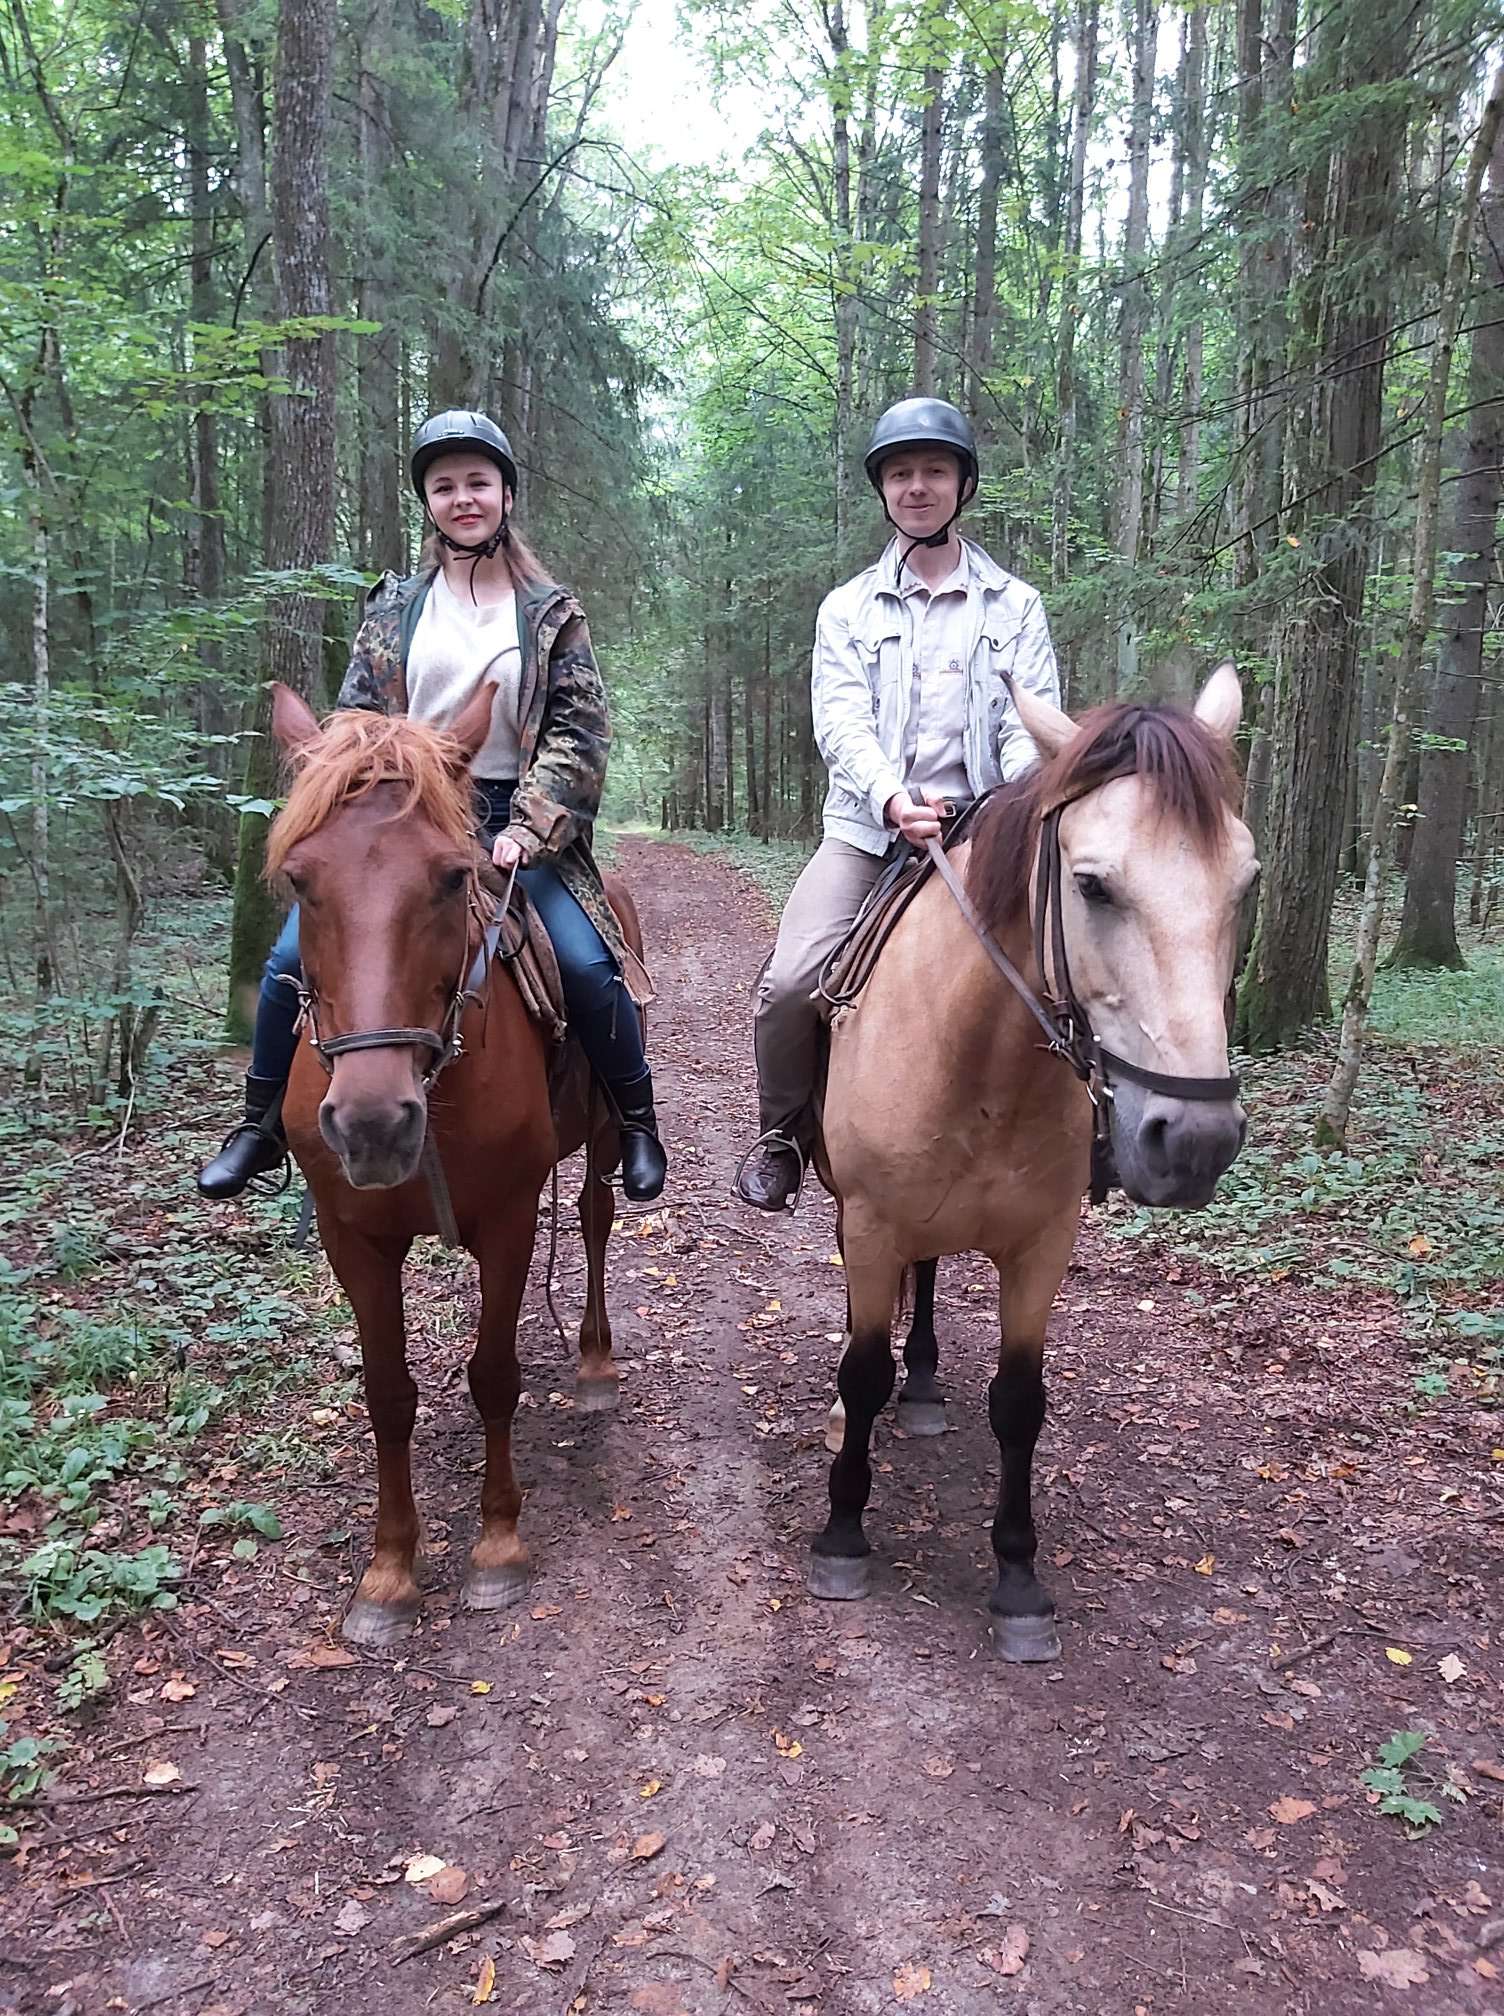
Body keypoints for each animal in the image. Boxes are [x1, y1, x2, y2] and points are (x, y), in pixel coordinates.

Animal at [265, 682, 633, 1647]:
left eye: (452, 876)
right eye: (300, 881)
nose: (372, 1124)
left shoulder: (508, 1219)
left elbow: (493, 1375)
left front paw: (497, 1547)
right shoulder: (351, 1237)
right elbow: (388, 1395)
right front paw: (390, 1573)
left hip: (607, 1137)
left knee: (595, 1218)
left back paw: (593, 1364)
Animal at [812, 664, 1256, 1661]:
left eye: (1244, 884)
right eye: (1093, 886)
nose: (1195, 1142)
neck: (980, 1059)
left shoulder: (1042, 1247)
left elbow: (1020, 1402)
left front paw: (1018, 1579)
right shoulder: (872, 1222)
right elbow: (860, 1372)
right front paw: (844, 1535)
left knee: (931, 1281)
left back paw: (926, 1386)